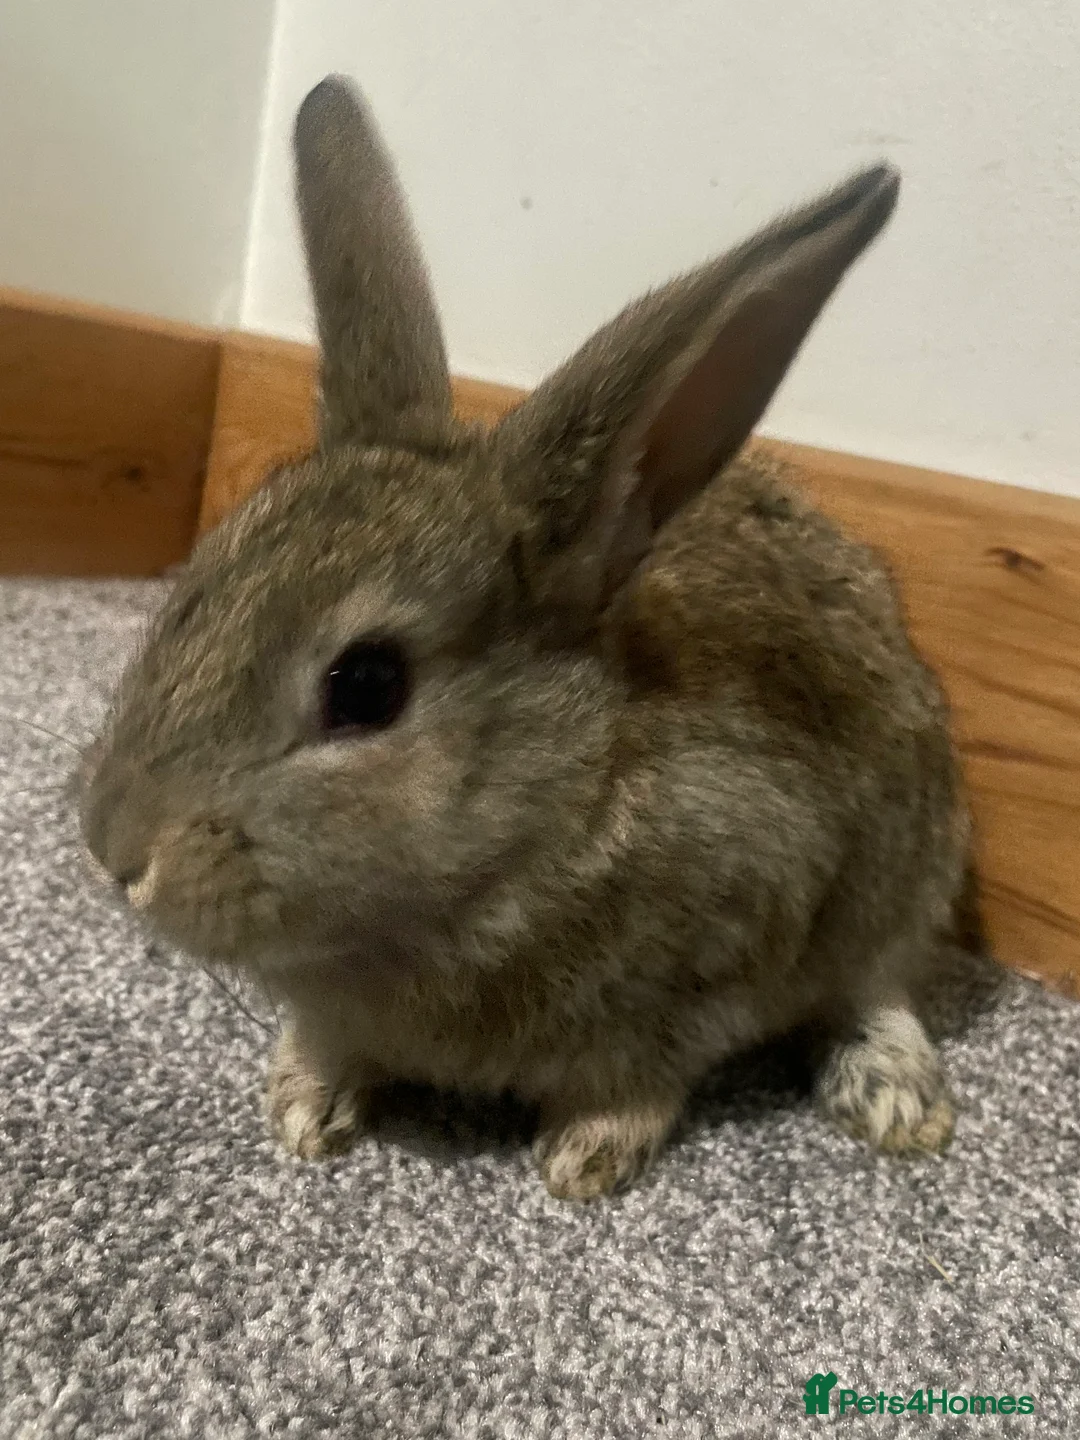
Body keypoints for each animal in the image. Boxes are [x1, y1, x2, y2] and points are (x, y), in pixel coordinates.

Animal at [79, 75, 970, 1201]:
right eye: (197, 585)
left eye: (366, 686)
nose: (114, 850)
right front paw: (304, 1110)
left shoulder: (725, 953)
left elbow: (648, 1073)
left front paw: (585, 1158)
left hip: (911, 862)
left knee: (881, 981)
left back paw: (893, 1098)